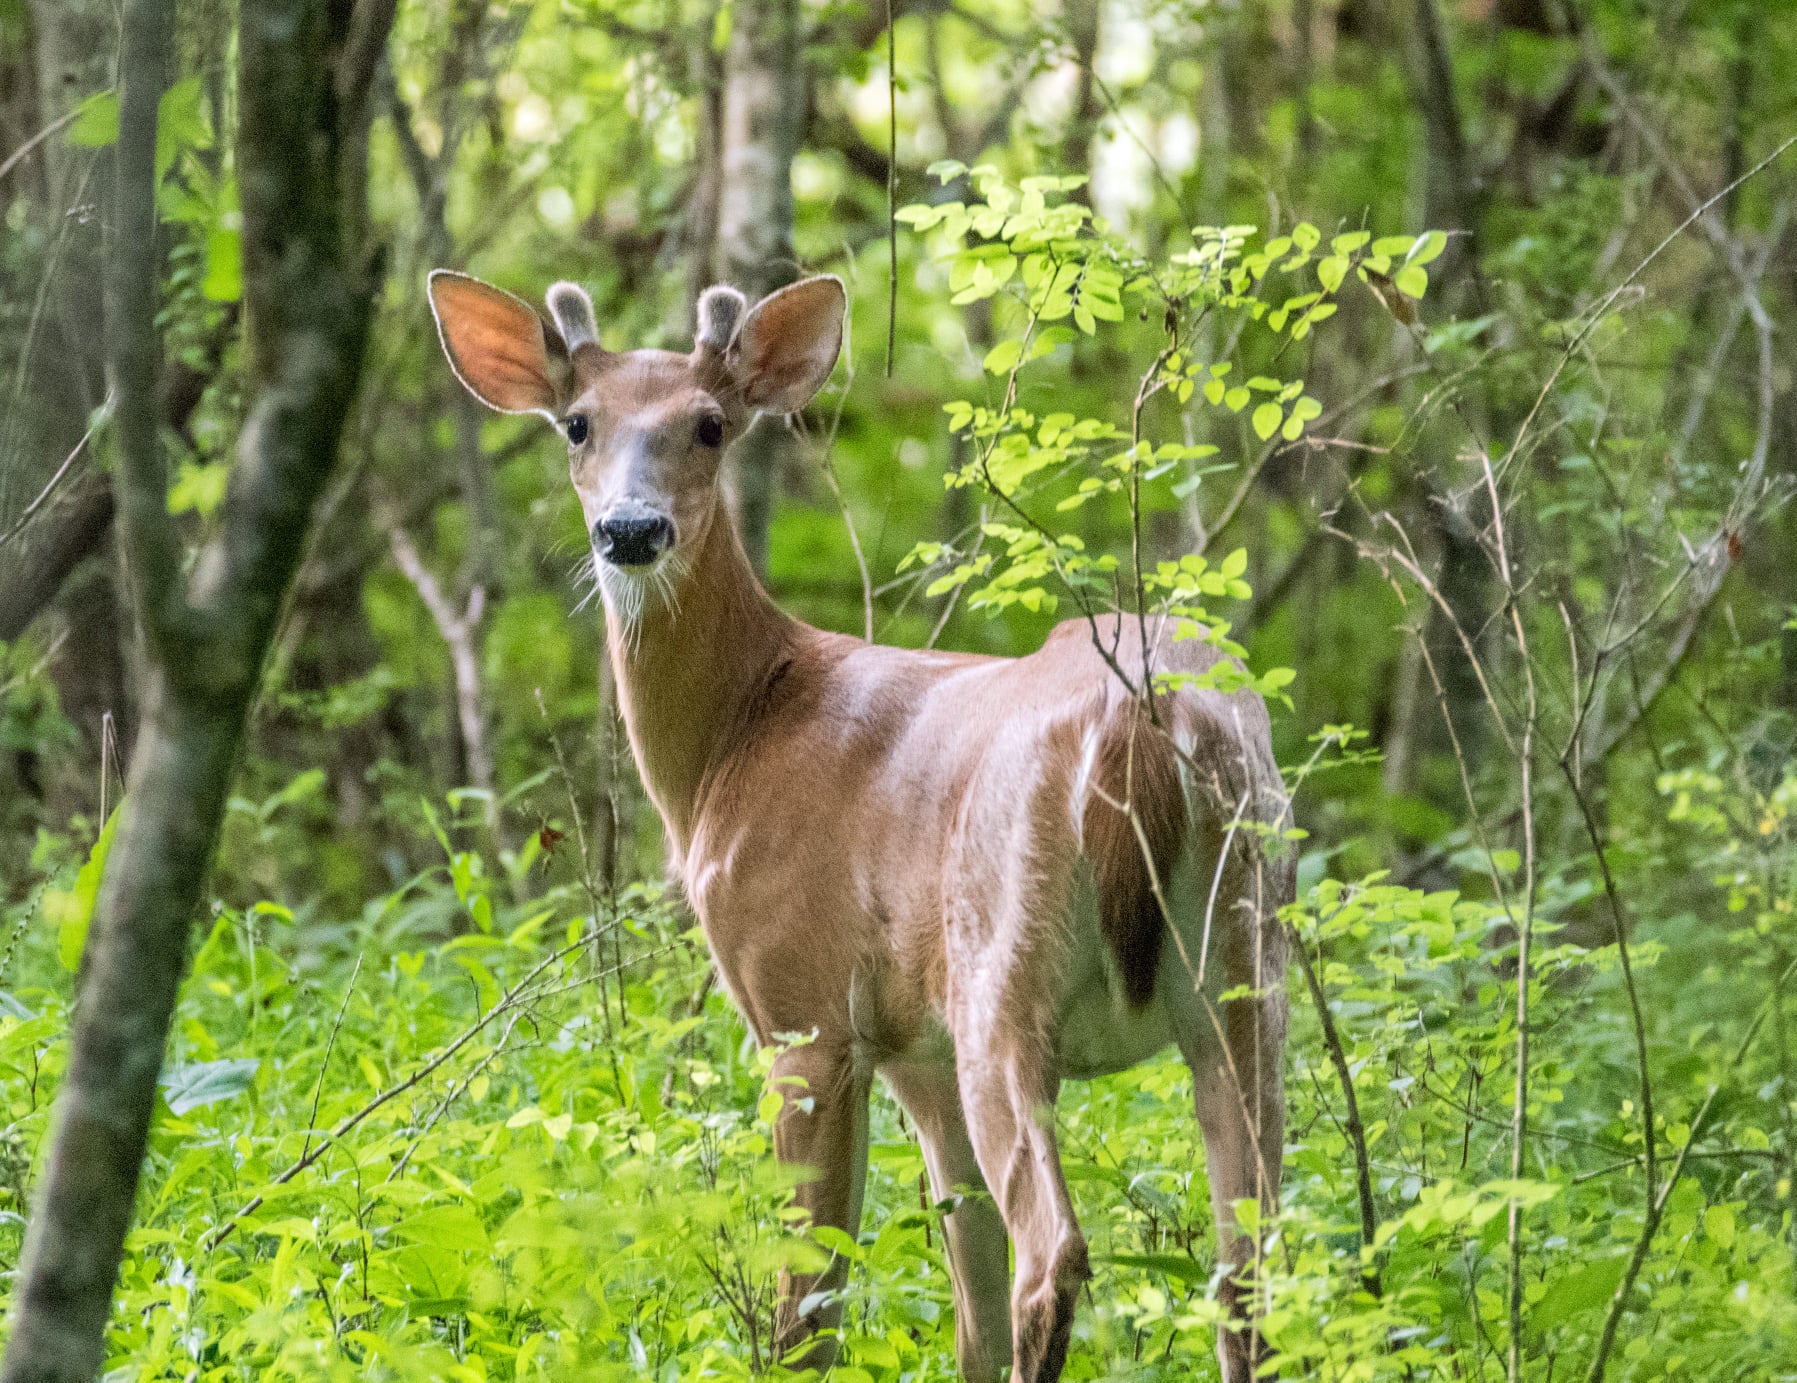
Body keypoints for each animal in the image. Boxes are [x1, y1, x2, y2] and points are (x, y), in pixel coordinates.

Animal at [420, 269, 1293, 1379]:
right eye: (578, 423)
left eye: (710, 425)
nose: (631, 530)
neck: (739, 731)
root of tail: (1142, 718)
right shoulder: (913, 1044)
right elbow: (963, 1287)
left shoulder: (803, 1009)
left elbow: (809, 1305)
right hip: (1247, 961)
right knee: (1244, 1262)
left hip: (1001, 967)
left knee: (1054, 1253)